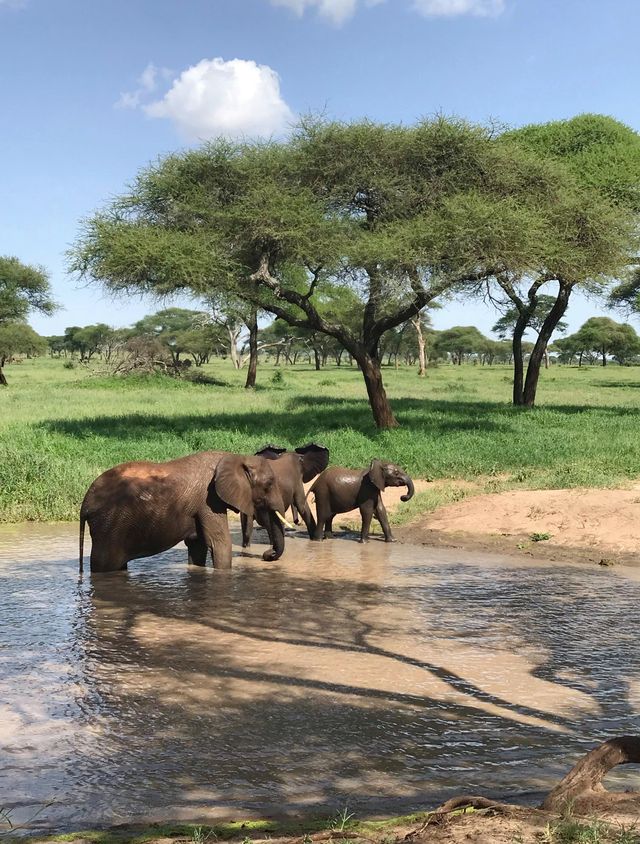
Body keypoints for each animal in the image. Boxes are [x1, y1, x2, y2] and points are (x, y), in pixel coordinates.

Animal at [79, 448, 284, 572]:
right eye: (269, 484)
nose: (267, 555)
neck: (235, 457)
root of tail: (85, 503)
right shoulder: (208, 499)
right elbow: (220, 543)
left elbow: (198, 545)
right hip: (109, 526)